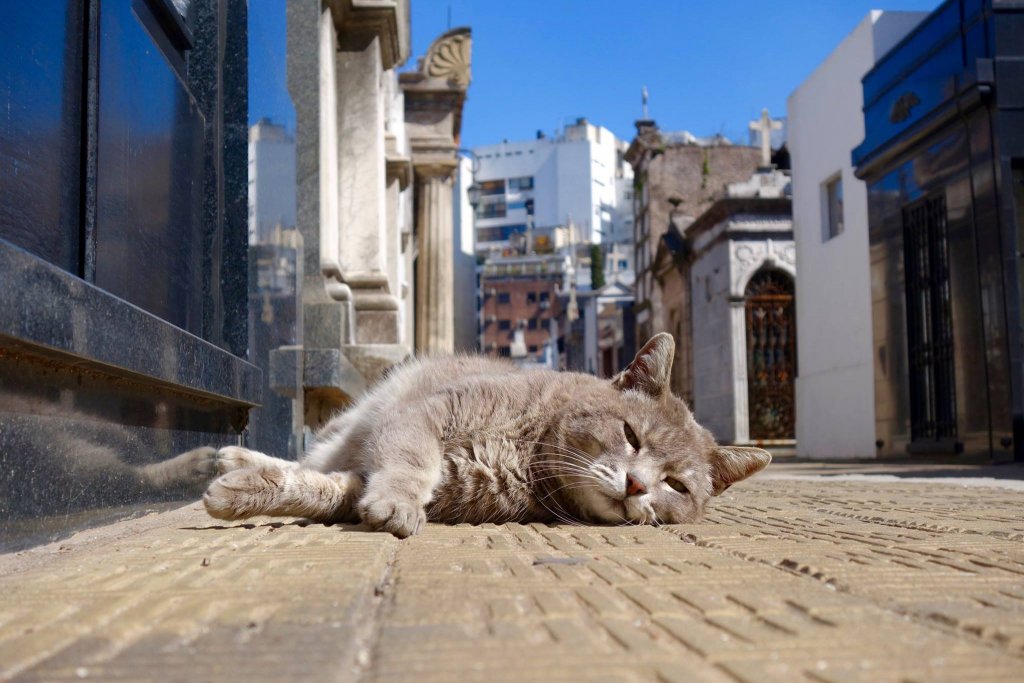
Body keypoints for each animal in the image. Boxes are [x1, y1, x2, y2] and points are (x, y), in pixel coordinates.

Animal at [203, 335, 770, 540]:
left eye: (676, 485)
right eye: (631, 434)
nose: (636, 485)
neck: (526, 451)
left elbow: (318, 490)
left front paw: (239, 493)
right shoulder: (425, 415)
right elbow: (409, 461)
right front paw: (398, 502)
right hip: (351, 425)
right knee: (313, 456)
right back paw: (231, 456)